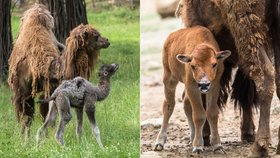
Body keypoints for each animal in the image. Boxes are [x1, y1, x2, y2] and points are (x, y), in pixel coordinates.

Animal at [154, 25, 231, 153]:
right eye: (193, 66)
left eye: (214, 64)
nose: (204, 84)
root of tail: (170, 37)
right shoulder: (192, 87)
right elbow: (199, 115)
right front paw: (198, 147)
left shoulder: (214, 86)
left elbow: (212, 113)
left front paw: (217, 146)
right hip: (169, 78)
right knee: (168, 105)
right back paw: (159, 142)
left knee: (186, 103)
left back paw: (192, 137)